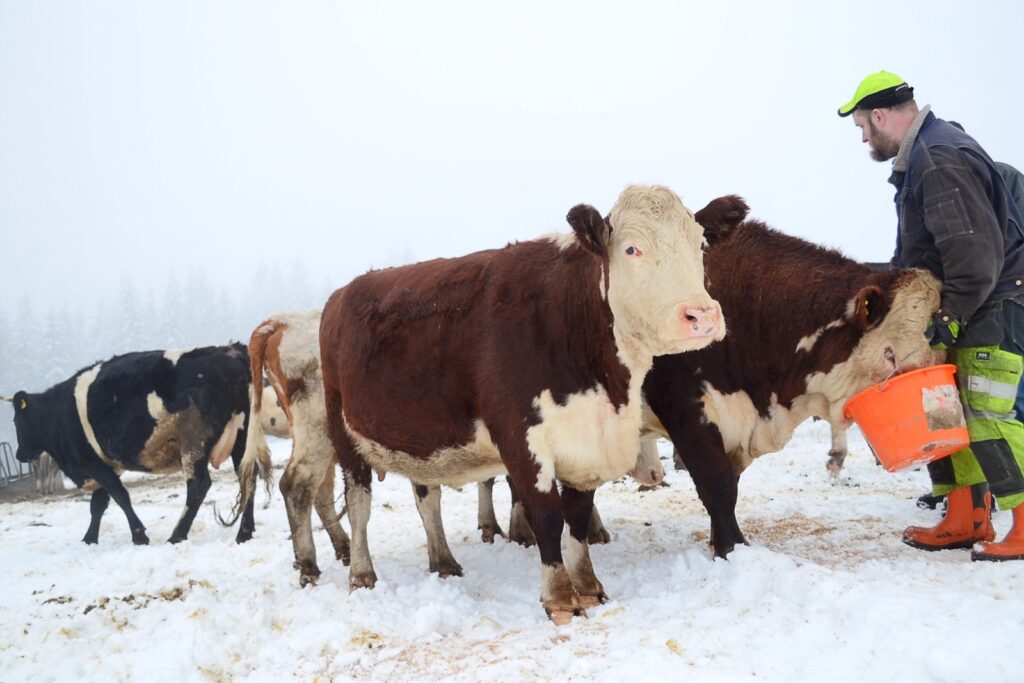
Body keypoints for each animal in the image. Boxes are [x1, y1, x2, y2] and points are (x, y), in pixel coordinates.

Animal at [3, 344, 260, 545]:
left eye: (16, 421)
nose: (20, 454)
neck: (58, 413)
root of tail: (230, 351)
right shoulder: (105, 464)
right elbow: (98, 504)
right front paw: (89, 539)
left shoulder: (94, 463)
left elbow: (119, 496)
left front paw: (139, 535)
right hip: (242, 439)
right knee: (247, 476)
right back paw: (244, 533)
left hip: (194, 442)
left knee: (198, 486)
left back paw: (176, 535)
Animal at [320, 185, 723, 623]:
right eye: (632, 249)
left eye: (700, 244)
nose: (701, 315)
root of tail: (342, 293)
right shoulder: (520, 436)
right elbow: (547, 516)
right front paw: (560, 598)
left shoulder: (585, 441)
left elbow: (577, 516)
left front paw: (588, 585)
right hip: (343, 429)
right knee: (359, 503)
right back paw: (362, 574)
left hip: (417, 436)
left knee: (427, 498)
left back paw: (443, 561)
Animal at [642, 195, 942, 558]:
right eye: (890, 353)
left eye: (928, 349)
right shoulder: (684, 406)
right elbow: (718, 484)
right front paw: (732, 550)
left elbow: (730, 486)